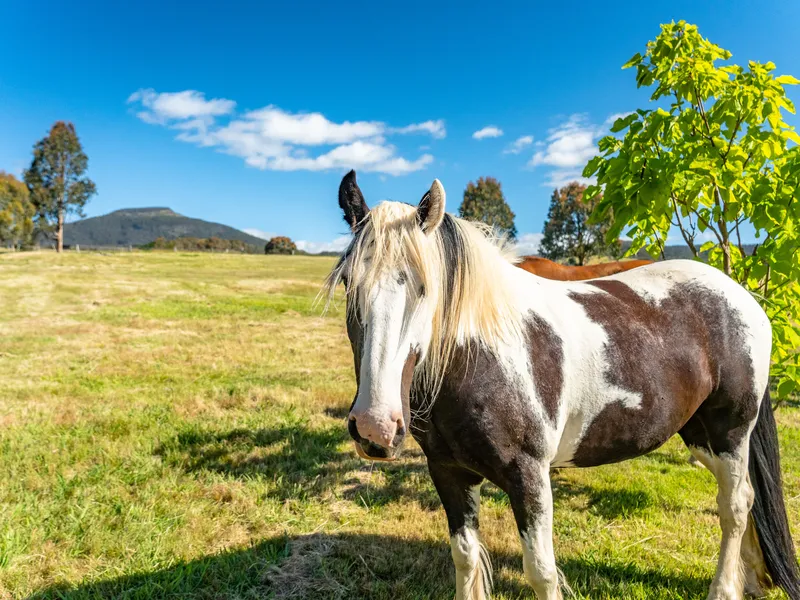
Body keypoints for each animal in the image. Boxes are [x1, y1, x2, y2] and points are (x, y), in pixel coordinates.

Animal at [326, 170, 799, 600]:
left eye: (426, 287)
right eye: (349, 282)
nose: (375, 427)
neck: (480, 359)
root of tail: (739, 294)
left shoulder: (530, 477)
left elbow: (541, 572)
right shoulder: (448, 472)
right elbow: (465, 557)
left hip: (730, 432)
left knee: (734, 506)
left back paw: (725, 589)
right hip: (699, 435)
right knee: (747, 499)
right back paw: (752, 579)